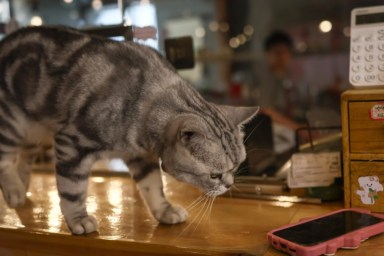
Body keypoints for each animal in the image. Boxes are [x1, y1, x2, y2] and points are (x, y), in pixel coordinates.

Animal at [0, 26, 260, 234]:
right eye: (214, 175)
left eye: (235, 167)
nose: (229, 185)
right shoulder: (72, 143)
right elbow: (72, 190)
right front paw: (78, 220)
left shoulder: (141, 157)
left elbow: (154, 186)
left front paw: (164, 211)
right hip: (12, 122)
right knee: (5, 158)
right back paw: (13, 189)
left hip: (34, 129)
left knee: (25, 157)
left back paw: (21, 189)